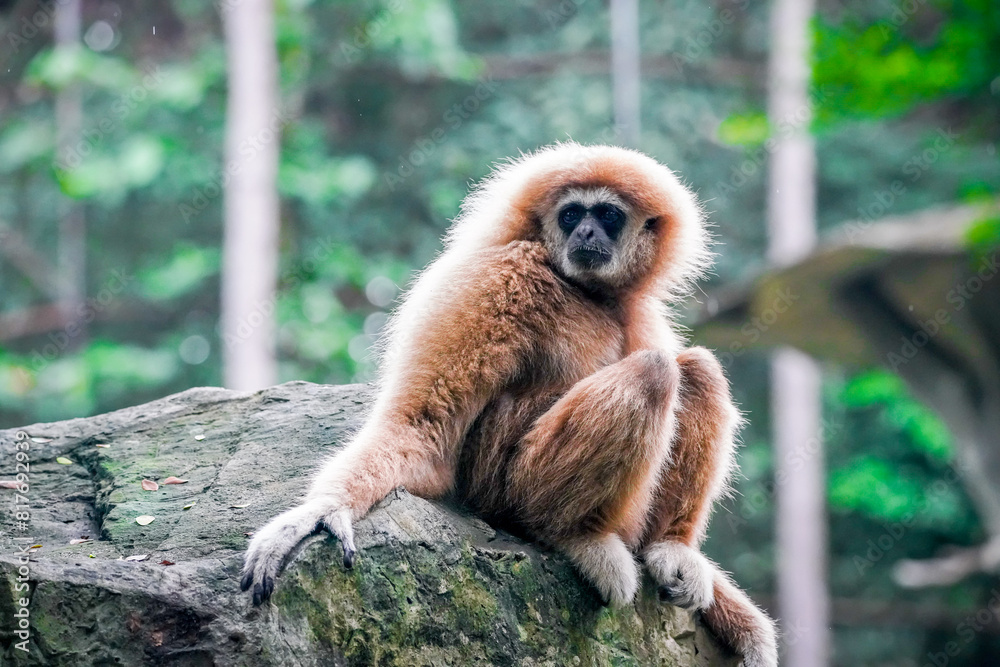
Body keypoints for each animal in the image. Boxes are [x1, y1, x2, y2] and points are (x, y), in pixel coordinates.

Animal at [241, 142, 778, 667]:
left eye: (606, 214)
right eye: (570, 214)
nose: (584, 230)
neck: (582, 289)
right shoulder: (496, 275)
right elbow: (419, 425)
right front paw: (318, 512)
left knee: (697, 368)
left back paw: (669, 549)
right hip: (505, 488)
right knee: (656, 373)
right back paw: (577, 538)